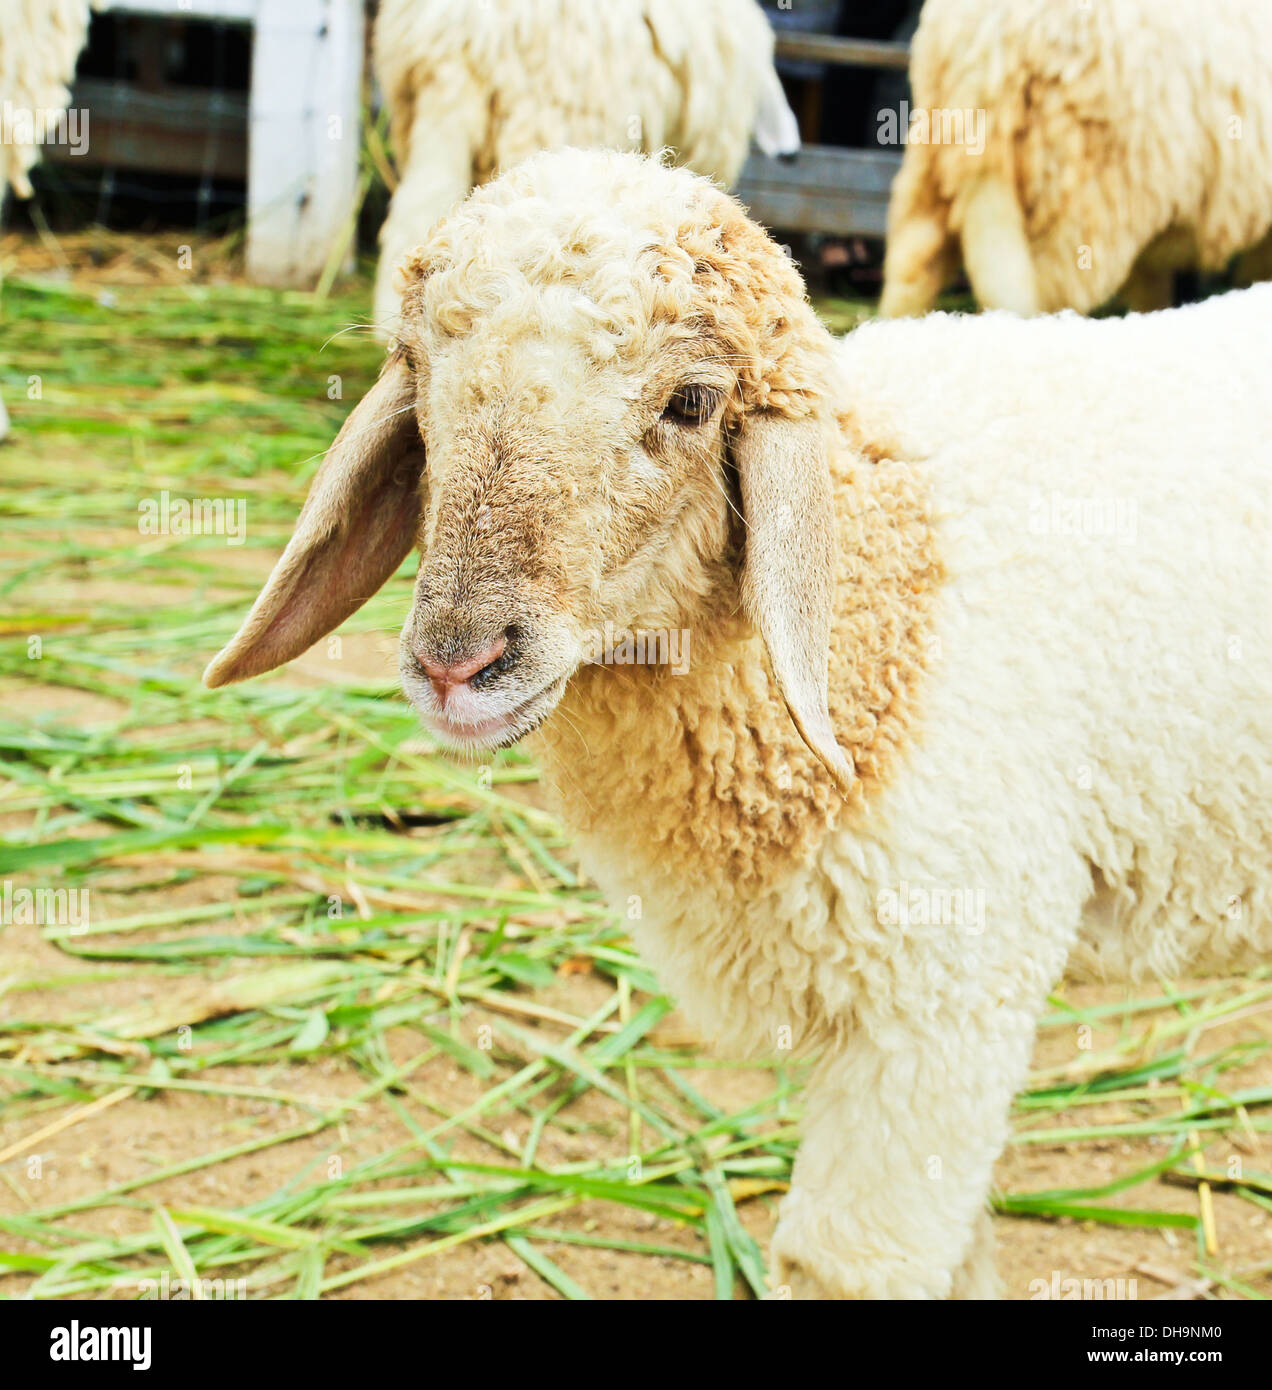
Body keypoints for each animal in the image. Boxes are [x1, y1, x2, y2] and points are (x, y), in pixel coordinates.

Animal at [204, 152, 1272, 1301]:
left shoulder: (942, 998)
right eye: (419, 365)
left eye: (691, 401)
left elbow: (848, 1260)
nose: (459, 659)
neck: (880, 579)